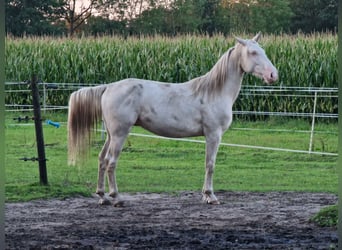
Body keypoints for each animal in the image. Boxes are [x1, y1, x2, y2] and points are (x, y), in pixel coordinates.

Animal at [67, 33, 278, 205]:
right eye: (252, 52)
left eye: (263, 50)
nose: (273, 75)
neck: (214, 91)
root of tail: (108, 87)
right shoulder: (213, 135)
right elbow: (210, 165)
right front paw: (210, 196)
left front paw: (205, 195)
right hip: (120, 134)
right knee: (111, 162)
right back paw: (116, 198)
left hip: (111, 135)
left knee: (102, 160)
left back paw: (102, 196)